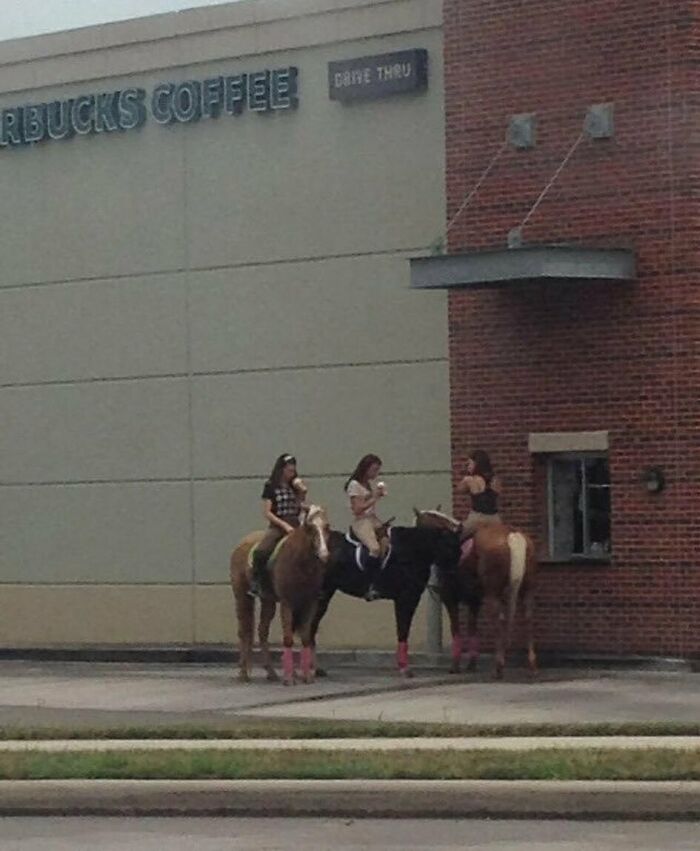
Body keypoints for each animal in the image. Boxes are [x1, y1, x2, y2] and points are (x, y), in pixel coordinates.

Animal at [228, 506, 330, 684]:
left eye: (326, 527)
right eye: (310, 528)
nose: (324, 554)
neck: (300, 562)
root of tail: (242, 543)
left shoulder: (309, 603)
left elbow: (305, 637)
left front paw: (306, 677)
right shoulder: (287, 602)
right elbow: (288, 638)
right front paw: (289, 679)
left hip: (267, 600)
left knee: (262, 631)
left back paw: (271, 672)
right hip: (242, 596)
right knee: (244, 632)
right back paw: (243, 673)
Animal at [416, 510, 536, 684]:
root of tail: (512, 535)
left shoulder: (450, 599)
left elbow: (456, 629)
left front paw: (455, 666)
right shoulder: (474, 601)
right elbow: (472, 629)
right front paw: (471, 665)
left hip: (492, 594)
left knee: (499, 622)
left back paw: (498, 667)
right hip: (527, 590)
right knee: (528, 618)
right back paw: (532, 667)